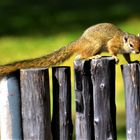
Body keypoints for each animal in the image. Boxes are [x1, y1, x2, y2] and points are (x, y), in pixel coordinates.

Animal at [0, 22, 140, 75]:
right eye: (131, 44)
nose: (138, 52)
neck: (123, 41)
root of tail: (79, 41)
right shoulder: (113, 44)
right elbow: (112, 50)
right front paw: (115, 57)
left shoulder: (126, 52)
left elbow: (127, 57)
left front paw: (132, 61)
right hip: (96, 44)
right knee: (83, 55)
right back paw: (93, 56)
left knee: (79, 56)